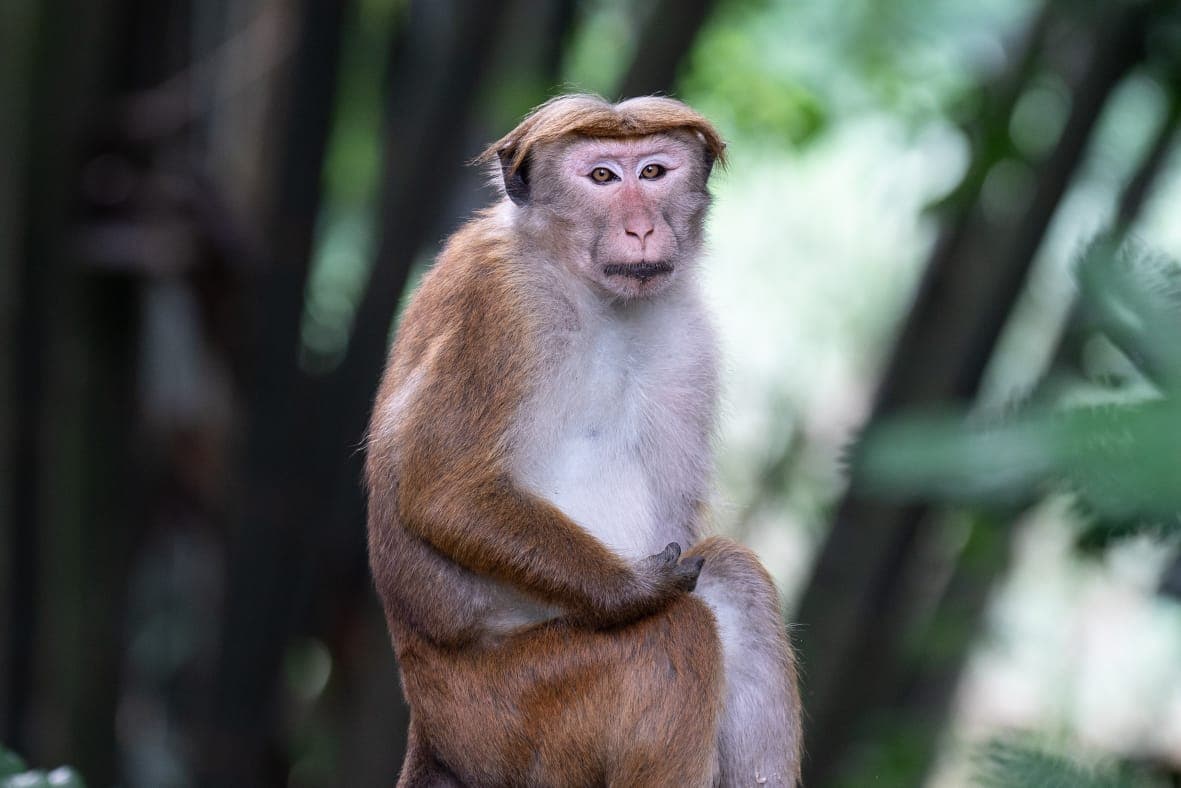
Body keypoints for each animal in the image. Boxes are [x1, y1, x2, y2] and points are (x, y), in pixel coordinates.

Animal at [365, 94, 802, 787]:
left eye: (652, 172)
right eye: (601, 177)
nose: (641, 229)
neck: (589, 292)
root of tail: (427, 722)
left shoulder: (689, 342)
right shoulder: (503, 304)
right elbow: (445, 494)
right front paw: (634, 590)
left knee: (735, 583)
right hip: (508, 710)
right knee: (674, 636)